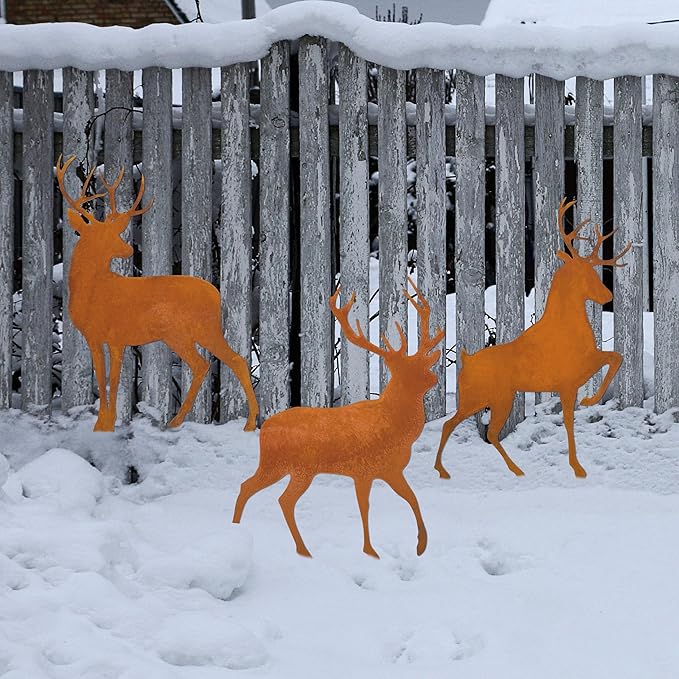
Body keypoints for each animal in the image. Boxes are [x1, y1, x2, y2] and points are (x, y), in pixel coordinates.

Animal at [56, 154, 259, 433]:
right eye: (103, 235)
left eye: (116, 233)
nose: (129, 250)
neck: (93, 290)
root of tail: (216, 294)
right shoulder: (94, 337)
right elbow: (102, 376)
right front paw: (101, 426)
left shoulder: (116, 336)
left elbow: (113, 380)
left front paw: (107, 425)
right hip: (188, 333)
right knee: (208, 363)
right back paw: (178, 421)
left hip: (195, 329)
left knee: (225, 361)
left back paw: (245, 423)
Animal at [233, 278, 444, 558]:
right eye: (406, 369)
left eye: (422, 364)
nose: (434, 377)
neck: (393, 427)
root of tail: (265, 428)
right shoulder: (363, 470)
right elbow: (365, 507)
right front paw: (370, 551)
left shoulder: (391, 470)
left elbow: (413, 498)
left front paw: (421, 545)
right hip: (285, 466)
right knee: (276, 497)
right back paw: (296, 549)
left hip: (288, 468)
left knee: (257, 490)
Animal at [435, 198, 631, 480]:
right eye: (585, 275)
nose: (608, 296)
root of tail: (466, 361)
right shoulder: (568, 380)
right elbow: (569, 421)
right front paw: (578, 467)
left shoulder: (581, 370)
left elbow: (615, 356)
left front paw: (590, 400)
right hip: (484, 398)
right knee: (466, 427)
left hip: (489, 399)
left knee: (471, 428)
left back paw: (507, 469)